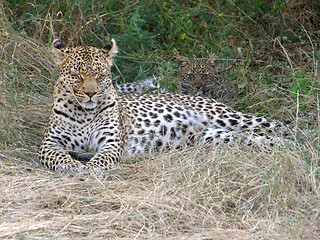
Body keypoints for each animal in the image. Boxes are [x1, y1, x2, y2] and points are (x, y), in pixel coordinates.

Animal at [39, 39, 282, 174]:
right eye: (77, 75)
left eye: (100, 75)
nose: (91, 93)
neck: (85, 113)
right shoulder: (49, 144)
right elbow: (59, 156)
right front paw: (73, 165)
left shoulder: (111, 143)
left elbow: (102, 158)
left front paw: (90, 169)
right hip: (214, 135)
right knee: (258, 138)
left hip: (226, 117)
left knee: (274, 124)